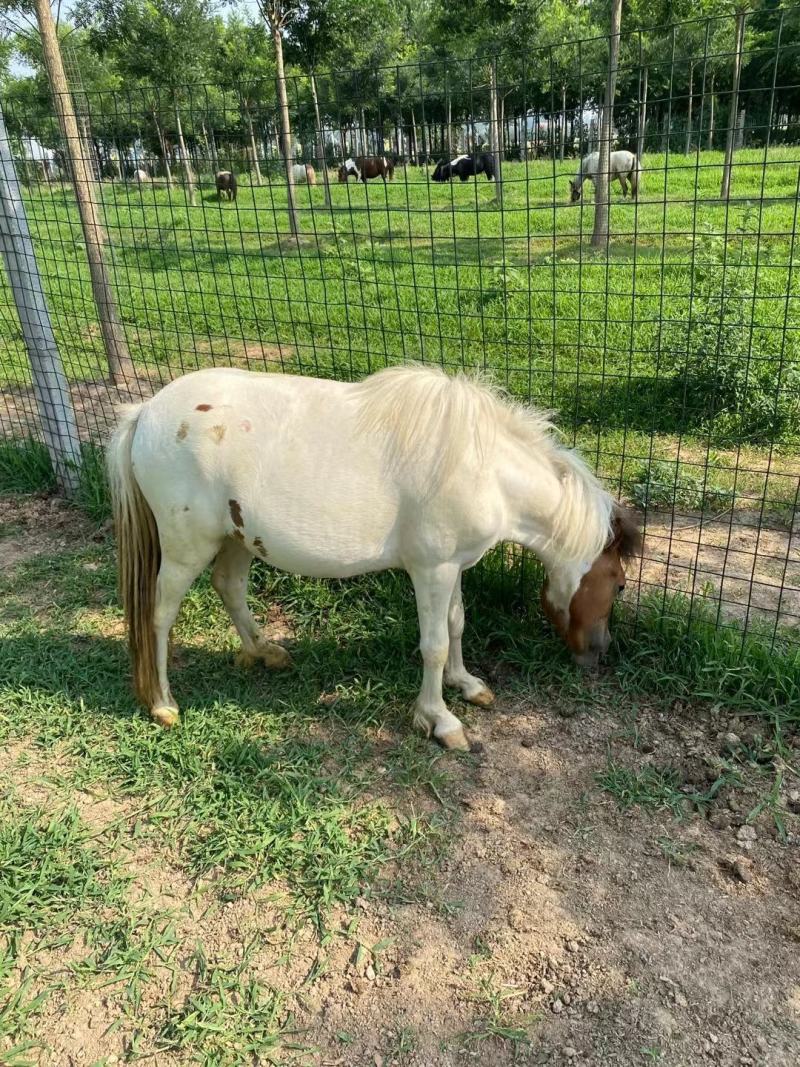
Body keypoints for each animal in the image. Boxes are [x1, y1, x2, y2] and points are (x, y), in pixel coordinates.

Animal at [108, 366, 641, 751]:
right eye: (618, 584)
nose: (598, 653)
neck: (484, 468)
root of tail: (146, 412)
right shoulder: (431, 570)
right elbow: (434, 644)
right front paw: (440, 720)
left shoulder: (452, 568)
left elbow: (457, 624)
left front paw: (466, 684)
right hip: (186, 548)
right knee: (159, 614)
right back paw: (163, 704)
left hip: (237, 538)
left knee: (229, 587)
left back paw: (263, 652)